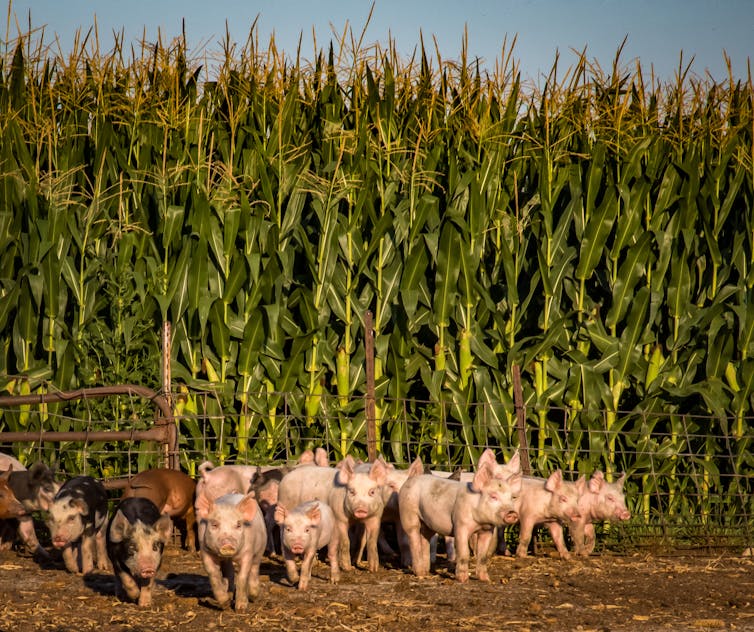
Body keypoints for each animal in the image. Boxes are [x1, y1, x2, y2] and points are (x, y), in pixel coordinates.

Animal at [396, 450, 520, 584]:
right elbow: (464, 553)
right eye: (493, 496)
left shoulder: (487, 530)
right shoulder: (461, 525)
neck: (479, 522)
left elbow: (483, 556)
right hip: (408, 513)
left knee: (425, 538)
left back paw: (426, 572)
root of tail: (410, 481)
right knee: (413, 537)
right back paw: (420, 574)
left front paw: (486, 580)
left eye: (511, 498)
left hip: (428, 523)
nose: (512, 513)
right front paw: (463, 580)